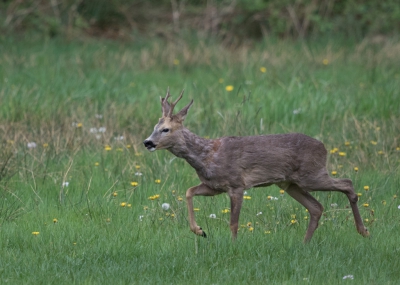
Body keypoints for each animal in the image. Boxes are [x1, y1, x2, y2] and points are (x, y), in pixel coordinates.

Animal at [143, 87, 368, 241]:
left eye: (165, 129)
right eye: (154, 126)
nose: (147, 142)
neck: (207, 156)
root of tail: (324, 147)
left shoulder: (236, 184)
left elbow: (233, 223)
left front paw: (233, 246)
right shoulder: (214, 186)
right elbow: (189, 191)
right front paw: (199, 231)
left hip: (311, 175)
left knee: (347, 183)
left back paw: (363, 230)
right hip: (290, 184)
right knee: (316, 207)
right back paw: (305, 243)